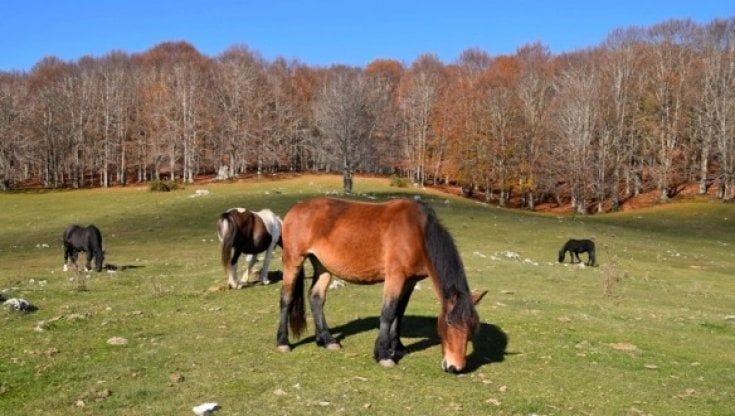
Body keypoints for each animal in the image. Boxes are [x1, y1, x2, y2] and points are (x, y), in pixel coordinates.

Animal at [276, 197, 486, 373]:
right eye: (449, 322)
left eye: (472, 327)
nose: (455, 367)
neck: (417, 232)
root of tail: (296, 208)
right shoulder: (395, 276)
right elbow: (388, 312)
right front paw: (384, 354)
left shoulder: (410, 281)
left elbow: (399, 313)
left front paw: (397, 346)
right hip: (293, 261)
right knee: (286, 299)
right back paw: (283, 342)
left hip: (323, 266)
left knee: (316, 298)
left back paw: (326, 340)